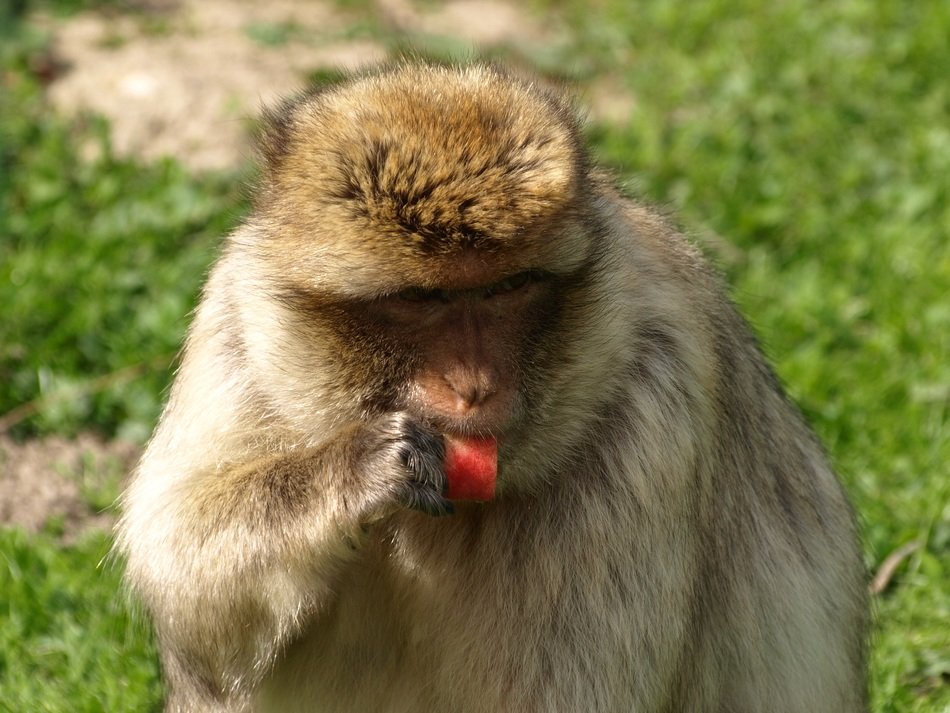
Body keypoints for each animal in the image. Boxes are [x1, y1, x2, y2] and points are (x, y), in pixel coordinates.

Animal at [116, 62, 867, 712]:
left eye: (508, 287)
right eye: (420, 299)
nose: (473, 386)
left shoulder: (650, 411)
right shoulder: (238, 326)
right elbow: (184, 579)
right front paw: (358, 467)